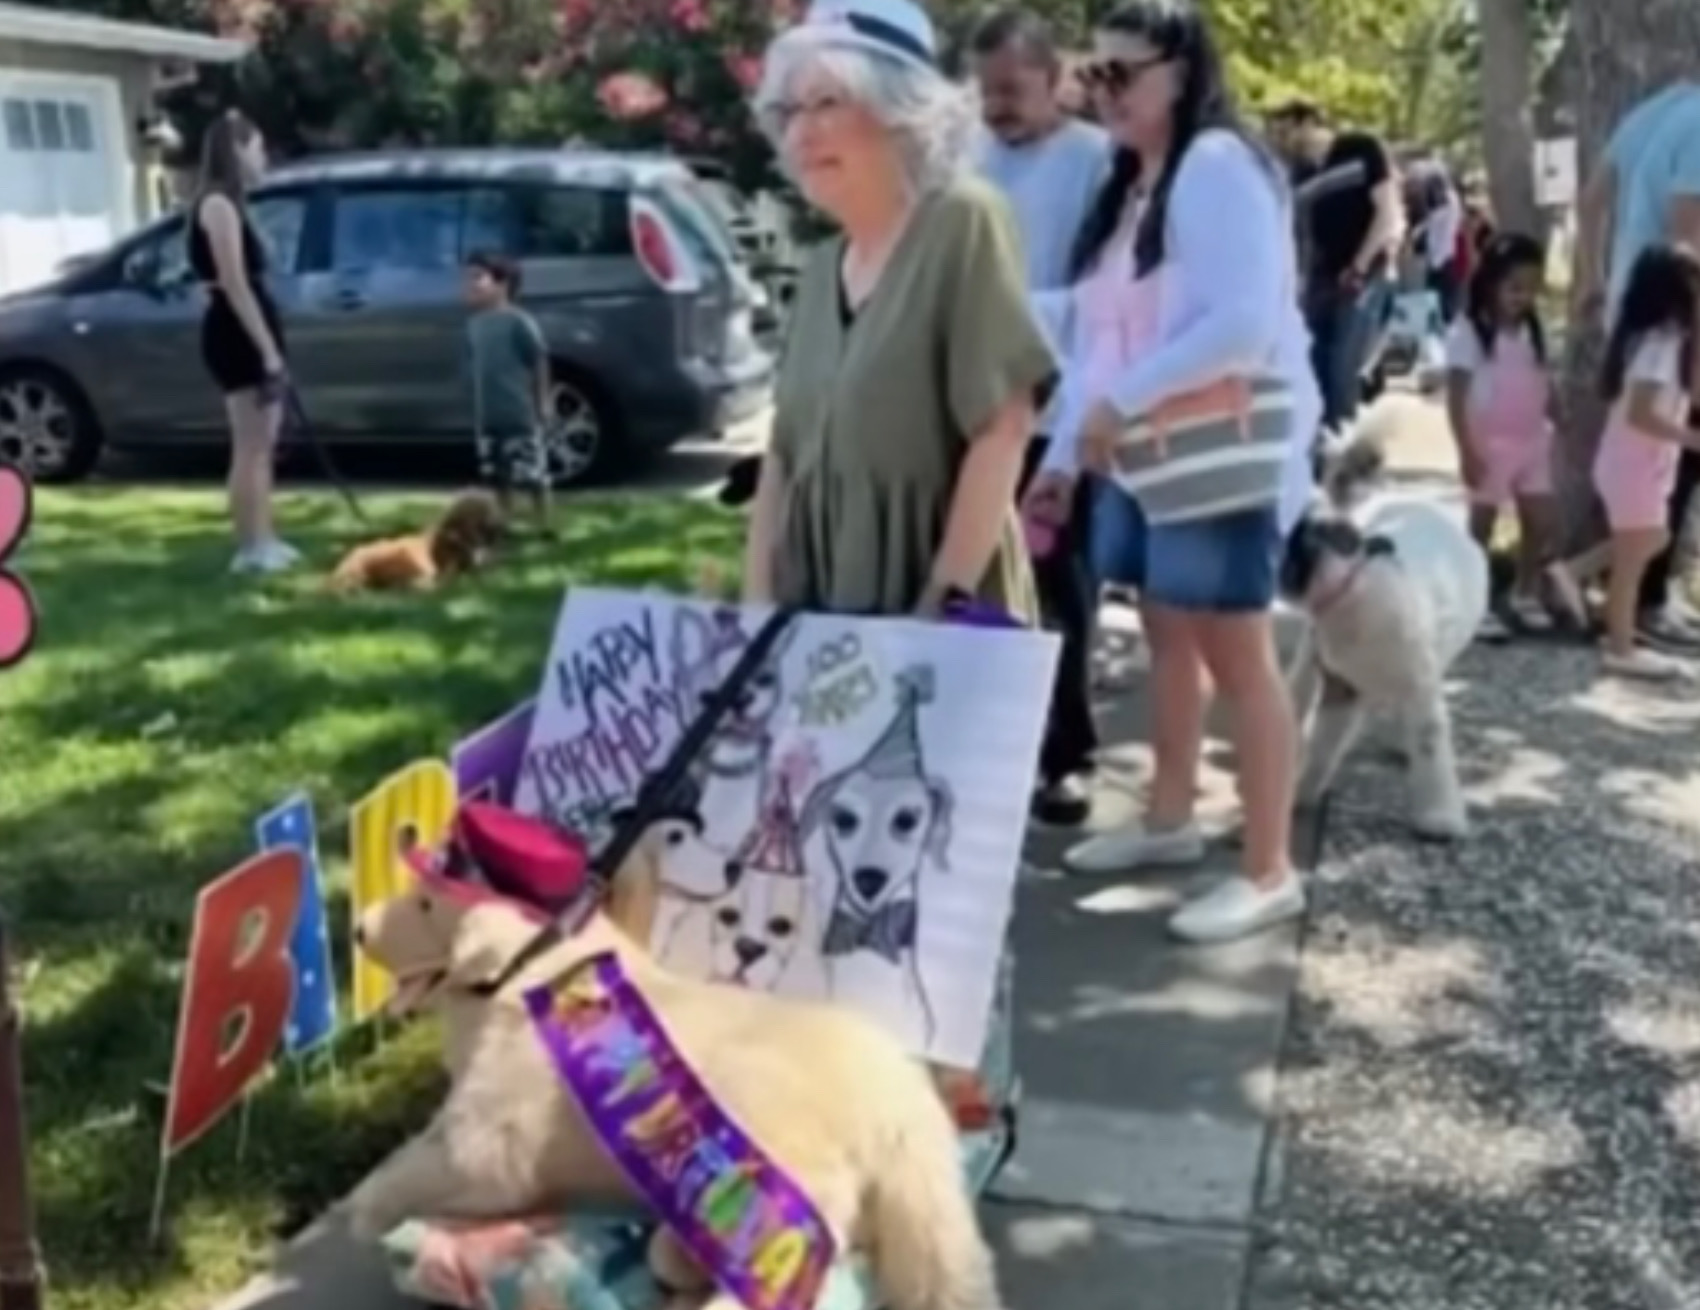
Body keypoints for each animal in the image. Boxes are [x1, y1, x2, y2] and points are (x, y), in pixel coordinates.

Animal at [1278, 434, 1482, 835]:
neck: (1349, 592)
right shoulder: (1341, 686)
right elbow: (1323, 747)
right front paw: (1300, 793)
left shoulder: (1419, 684)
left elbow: (1429, 743)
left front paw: (1439, 815)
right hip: (1315, 654)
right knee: (1301, 683)